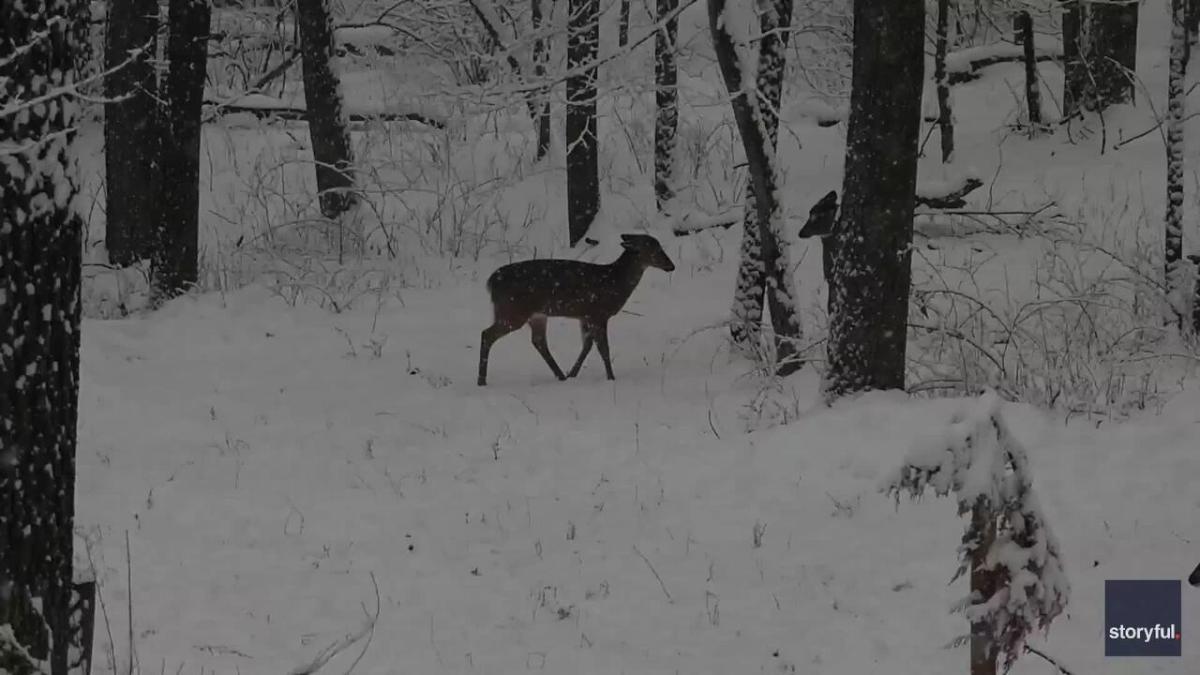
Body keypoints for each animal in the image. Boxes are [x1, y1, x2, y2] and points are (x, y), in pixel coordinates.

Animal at [475, 234, 676, 384]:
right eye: (656, 249)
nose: (671, 266)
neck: (614, 282)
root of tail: (491, 282)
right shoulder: (598, 314)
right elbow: (604, 349)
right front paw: (611, 378)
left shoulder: (585, 316)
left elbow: (587, 345)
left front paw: (573, 373)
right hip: (513, 311)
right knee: (486, 334)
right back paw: (482, 380)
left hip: (536, 315)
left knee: (538, 341)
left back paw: (561, 376)